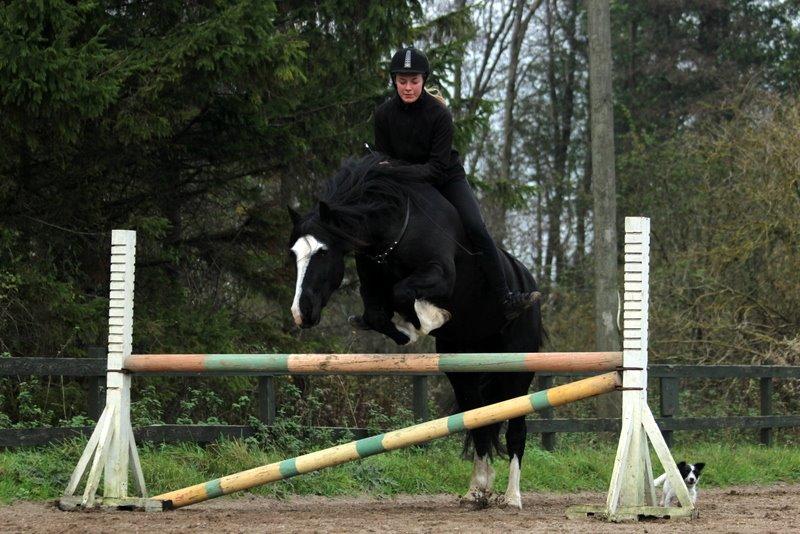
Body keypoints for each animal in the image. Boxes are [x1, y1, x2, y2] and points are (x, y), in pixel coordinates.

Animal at [288, 154, 544, 510]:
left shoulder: (440, 274)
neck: (393, 230)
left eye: (323, 252)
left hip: (518, 367)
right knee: (479, 420)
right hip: (463, 368)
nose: (301, 313)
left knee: (516, 429)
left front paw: (429, 318)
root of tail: (528, 282)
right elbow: (378, 314)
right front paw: (408, 328)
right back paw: (476, 491)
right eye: (294, 254)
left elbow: (403, 293)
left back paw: (512, 498)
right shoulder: (374, 289)